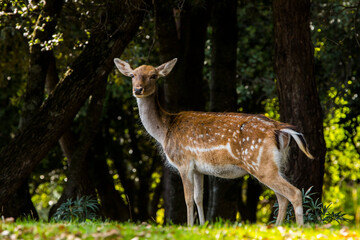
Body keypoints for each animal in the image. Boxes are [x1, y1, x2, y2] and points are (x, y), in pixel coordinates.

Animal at [114, 57, 314, 226]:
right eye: (132, 75)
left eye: (154, 75)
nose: (137, 90)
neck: (164, 130)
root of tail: (279, 129)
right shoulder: (198, 168)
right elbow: (198, 198)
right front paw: (202, 226)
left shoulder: (183, 162)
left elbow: (187, 199)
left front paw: (189, 226)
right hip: (275, 165)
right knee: (282, 198)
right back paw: (277, 227)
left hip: (260, 164)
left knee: (294, 193)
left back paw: (298, 228)